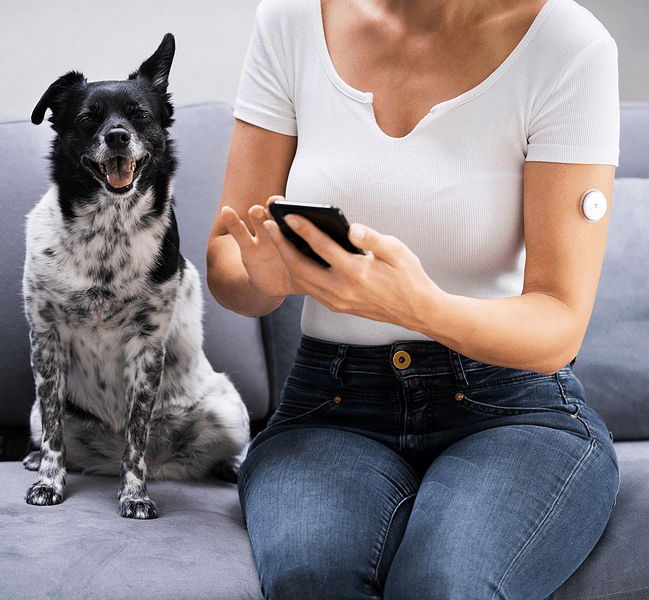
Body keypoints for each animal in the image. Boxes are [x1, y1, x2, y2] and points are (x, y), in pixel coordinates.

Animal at [22, 34, 251, 520]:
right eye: (87, 118)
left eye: (141, 115)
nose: (117, 136)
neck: (108, 232)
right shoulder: (46, 340)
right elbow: (54, 430)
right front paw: (49, 481)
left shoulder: (146, 350)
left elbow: (136, 435)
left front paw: (135, 495)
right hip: (37, 407)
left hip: (228, 410)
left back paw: (232, 466)